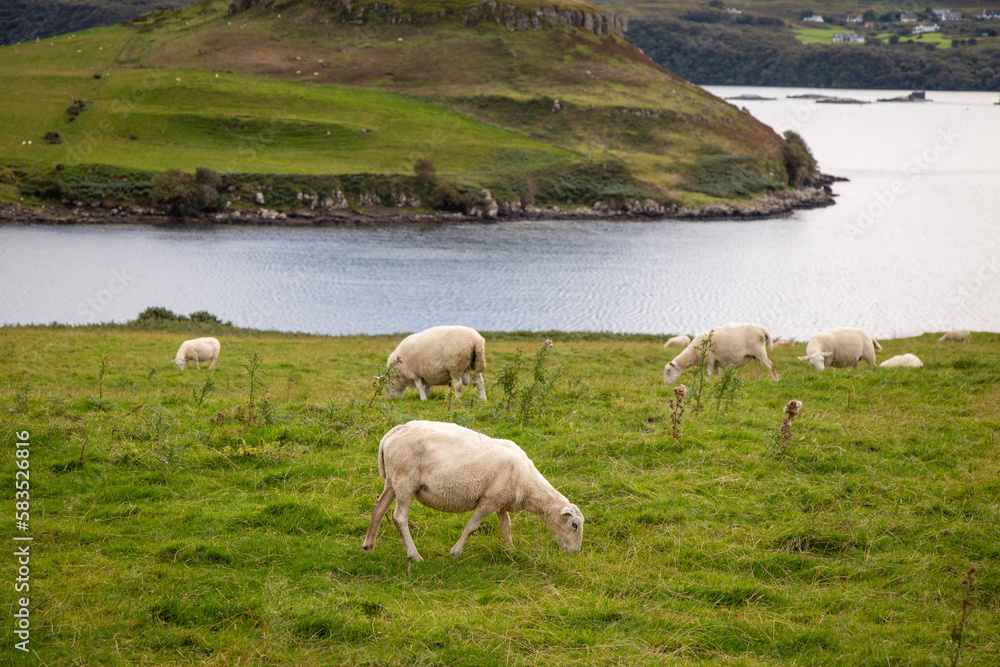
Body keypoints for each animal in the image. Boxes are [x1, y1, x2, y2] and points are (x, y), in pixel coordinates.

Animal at [362, 420, 584, 561]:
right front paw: (455, 552)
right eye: (574, 525)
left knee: (378, 508)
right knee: (399, 517)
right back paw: (414, 556)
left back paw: (368, 546)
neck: (528, 484)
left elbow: (506, 525)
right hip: (406, 481)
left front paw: (511, 549)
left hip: (393, 480)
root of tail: (393, 433)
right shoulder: (488, 500)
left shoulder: (501, 500)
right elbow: (472, 527)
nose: (576, 553)